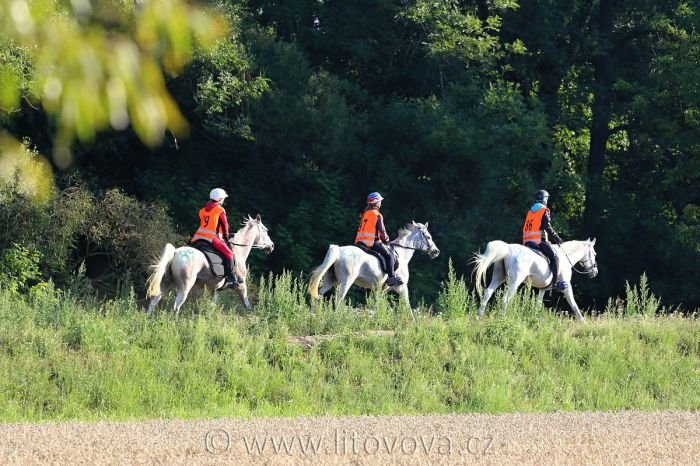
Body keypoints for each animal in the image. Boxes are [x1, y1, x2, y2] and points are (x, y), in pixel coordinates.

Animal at [308, 222, 440, 310]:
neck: (402, 254)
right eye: (428, 237)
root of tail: (339, 251)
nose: (436, 252)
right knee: (338, 299)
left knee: (318, 294)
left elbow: (377, 305)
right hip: (346, 282)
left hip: (330, 280)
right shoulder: (402, 287)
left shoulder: (381, 289)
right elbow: (407, 307)